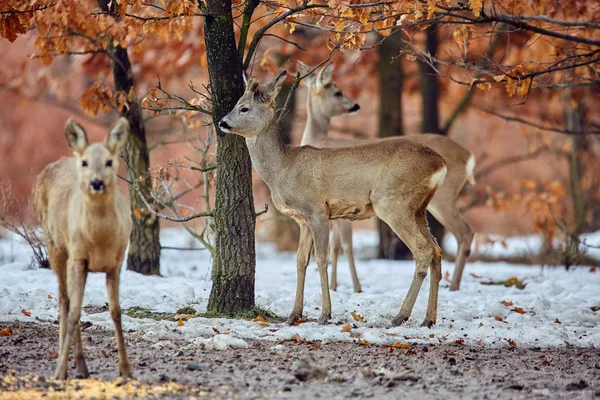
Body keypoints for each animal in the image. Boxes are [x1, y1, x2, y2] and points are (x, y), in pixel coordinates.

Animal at [33, 117, 132, 380]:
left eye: (109, 161)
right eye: (85, 162)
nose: (96, 182)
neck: (99, 240)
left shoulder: (117, 262)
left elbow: (116, 312)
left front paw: (126, 369)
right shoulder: (77, 257)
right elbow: (75, 311)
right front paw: (59, 371)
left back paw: (81, 365)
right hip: (55, 247)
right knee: (64, 302)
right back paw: (66, 363)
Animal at [219, 71, 446, 328]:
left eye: (244, 108)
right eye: (237, 104)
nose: (222, 122)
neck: (282, 168)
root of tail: (440, 164)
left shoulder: (317, 211)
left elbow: (321, 258)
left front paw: (325, 314)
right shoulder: (302, 219)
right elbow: (300, 261)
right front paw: (293, 315)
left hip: (392, 203)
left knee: (423, 250)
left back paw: (401, 316)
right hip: (419, 208)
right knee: (436, 250)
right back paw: (428, 319)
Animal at [298, 63, 476, 294]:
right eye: (337, 92)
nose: (355, 105)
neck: (319, 139)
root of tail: (469, 157)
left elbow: (345, 244)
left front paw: (355, 287)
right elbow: (336, 246)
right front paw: (336, 286)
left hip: (443, 197)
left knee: (464, 233)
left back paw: (453, 286)